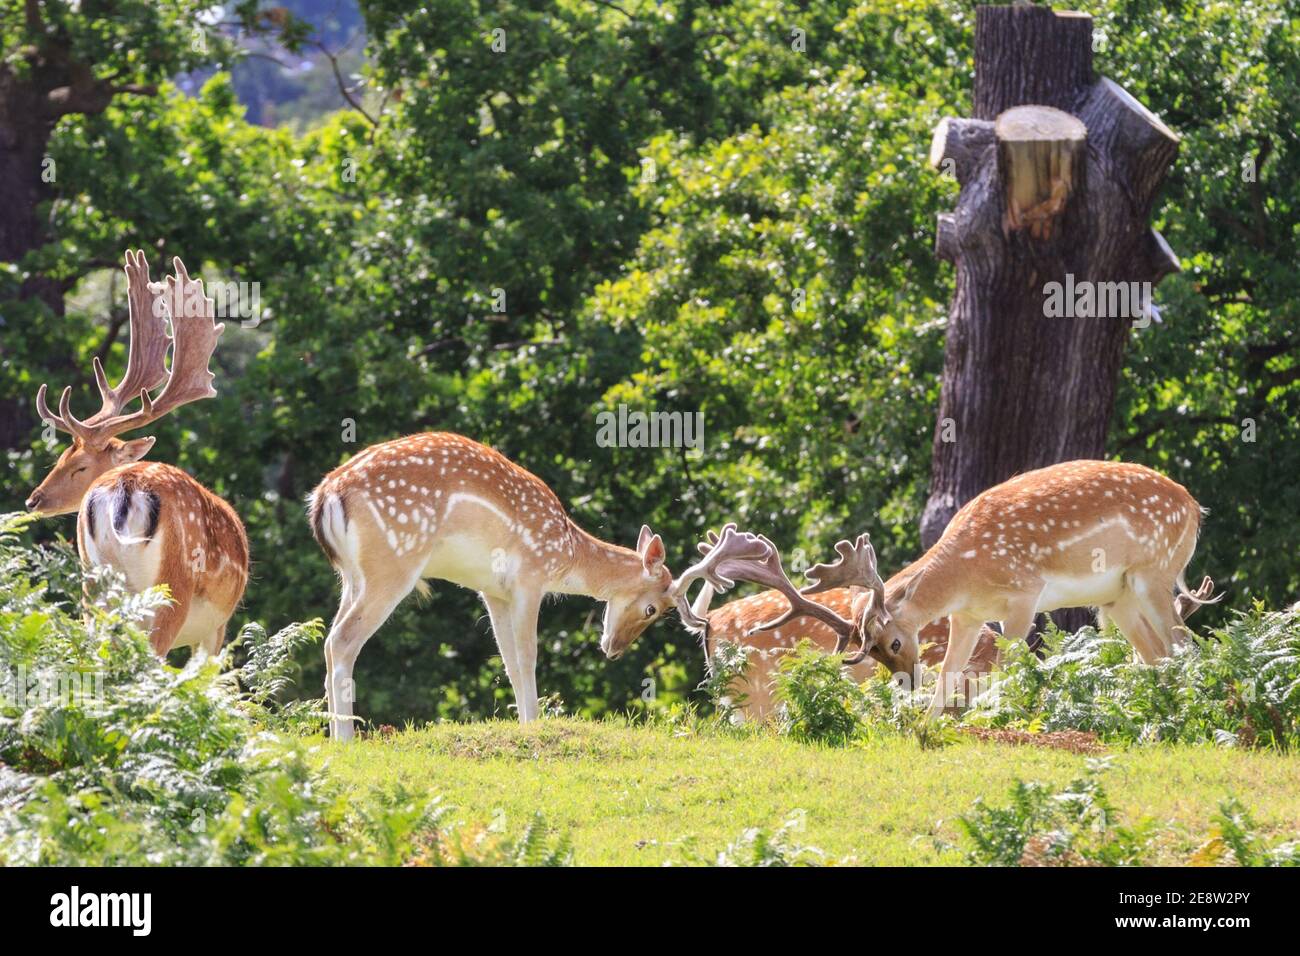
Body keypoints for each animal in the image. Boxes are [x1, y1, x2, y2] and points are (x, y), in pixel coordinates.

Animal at [24, 251, 248, 660]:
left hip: (93, 586)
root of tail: (124, 490)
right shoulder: (217, 627)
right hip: (168, 592)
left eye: (77, 464)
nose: (34, 500)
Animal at [308, 434, 676, 738]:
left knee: (328, 640)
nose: (614, 649)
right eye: (652, 609)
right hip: (392, 565)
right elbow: (528, 655)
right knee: (343, 640)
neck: (567, 554)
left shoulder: (493, 591)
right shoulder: (530, 578)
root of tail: (327, 496)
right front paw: (534, 724)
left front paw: (524, 722)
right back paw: (345, 738)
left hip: (353, 576)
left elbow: (508, 661)